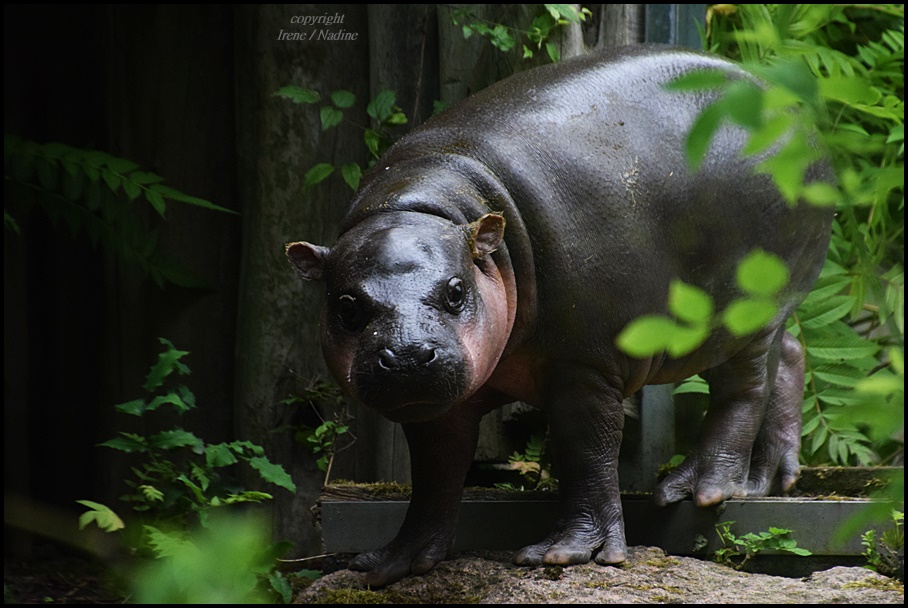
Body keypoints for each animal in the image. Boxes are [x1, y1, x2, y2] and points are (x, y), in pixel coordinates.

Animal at [288, 45, 832, 588]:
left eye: (456, 291)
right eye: (346, 306)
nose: (405, 355)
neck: (427, 207)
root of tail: (797, 112)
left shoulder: (584, 365)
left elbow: (585, 454)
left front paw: (566, 553)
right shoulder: (435, 403)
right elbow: (435, 473)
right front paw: (392, 563)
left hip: (749, 311)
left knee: (744, 389)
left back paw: (698, 488)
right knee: (789, 354)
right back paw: (769, 480)